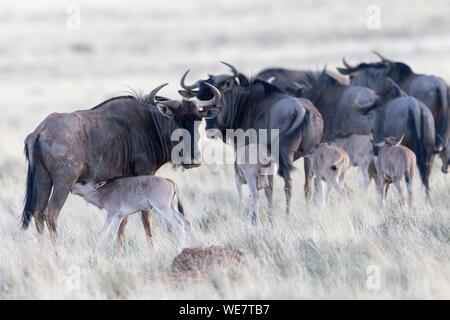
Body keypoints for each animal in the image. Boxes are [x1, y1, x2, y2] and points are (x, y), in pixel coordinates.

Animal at [22, 84, 221, 241]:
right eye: (177, 119)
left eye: (199, 120)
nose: (192, 160)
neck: (151, 125)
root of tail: (41, 130)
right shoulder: (145, 173)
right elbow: (146, 217)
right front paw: (151, 248)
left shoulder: (127, 182)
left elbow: (123, 221)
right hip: (63, 183)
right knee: (51, 214)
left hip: (44, 180)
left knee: (38, 214)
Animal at [179, 61, 324, 214]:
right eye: (201, 100)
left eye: (218, 98)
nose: (210, 129)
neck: (246, 104)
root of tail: (302, 110)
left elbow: (261, 187)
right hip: (308, 155)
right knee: (307, 185)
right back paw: (308, 212)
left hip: (286, 157)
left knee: (288, 184)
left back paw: (287, 215)